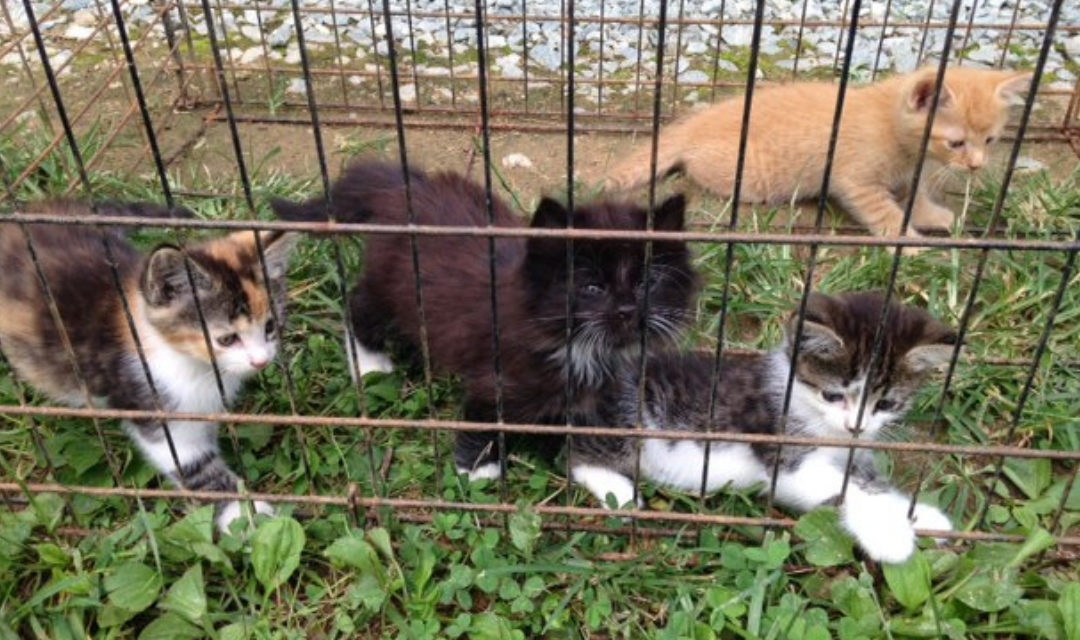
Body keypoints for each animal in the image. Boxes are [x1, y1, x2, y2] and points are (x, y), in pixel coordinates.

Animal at [0, 201, 298, 530]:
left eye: (269, 326)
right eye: (227, 339)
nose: (261, 361)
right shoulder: (151, 404)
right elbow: (193, 465)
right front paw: (245, 515)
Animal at [270, 161, 699, 477]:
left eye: (646, 282)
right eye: (592, 287)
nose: (628, 310)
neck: (579, 346)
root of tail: (408, 186)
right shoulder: (494, 375)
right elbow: (484, 416)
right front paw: (478, 470)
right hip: (392, 285)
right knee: (360, 305)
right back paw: (370, 362)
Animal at [570, 291, 959, 561]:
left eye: (886, 404)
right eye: (832, 395)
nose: (856, 427)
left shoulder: (855, 452)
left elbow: (872, 484)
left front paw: (922, 517)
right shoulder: (785, 453)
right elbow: (843, 488)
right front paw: (891, 534)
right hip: (623, 416)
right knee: (577, 457)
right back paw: (619, 493)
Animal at [609, 67, 1028, 238]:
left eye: (990, 140)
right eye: (956, 143)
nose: (976, 166)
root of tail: (694, 123)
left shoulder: (910, 174)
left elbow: (916, 197)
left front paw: (935, 216)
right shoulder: (856, 182)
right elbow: (886, 213)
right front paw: (906, 241)